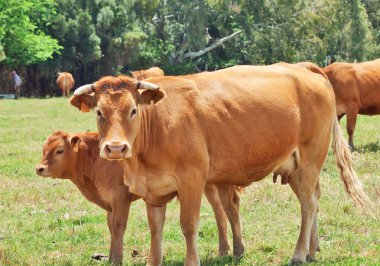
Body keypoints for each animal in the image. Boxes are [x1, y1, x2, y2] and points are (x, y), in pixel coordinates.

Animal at [35, 130, 238, 264]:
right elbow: (111, 228)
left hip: (209, 185)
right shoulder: (110, 202)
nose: (39, 168)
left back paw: (224, 249)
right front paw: (110, 256)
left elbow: (118, 227)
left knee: (220, 211)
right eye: (44, 149)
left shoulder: (120, 196)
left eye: (59, 150)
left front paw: (116, 259)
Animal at [70, 63, 370, 264]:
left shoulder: (192, 180)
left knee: (308, 205)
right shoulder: (152, 190)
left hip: (310, 158)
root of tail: (302, 68)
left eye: (133, 110)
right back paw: (311, 249)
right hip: (296, 167)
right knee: (315, 200)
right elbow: (156, 229)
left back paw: (298, 254)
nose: (115, 147)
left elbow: (188, 225)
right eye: (99, 112)